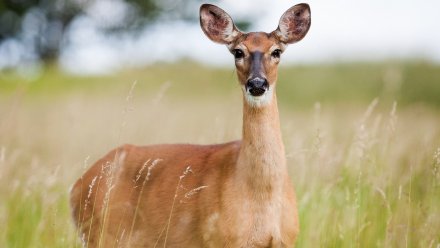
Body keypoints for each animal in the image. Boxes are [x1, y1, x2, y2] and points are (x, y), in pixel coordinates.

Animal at [70, 2, 312, 247]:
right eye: (238, 52)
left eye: (276, 51)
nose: (257, 84)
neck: (262, 195)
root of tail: (77, 186)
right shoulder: (218, 239)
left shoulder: (287, 240)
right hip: (102, 234)